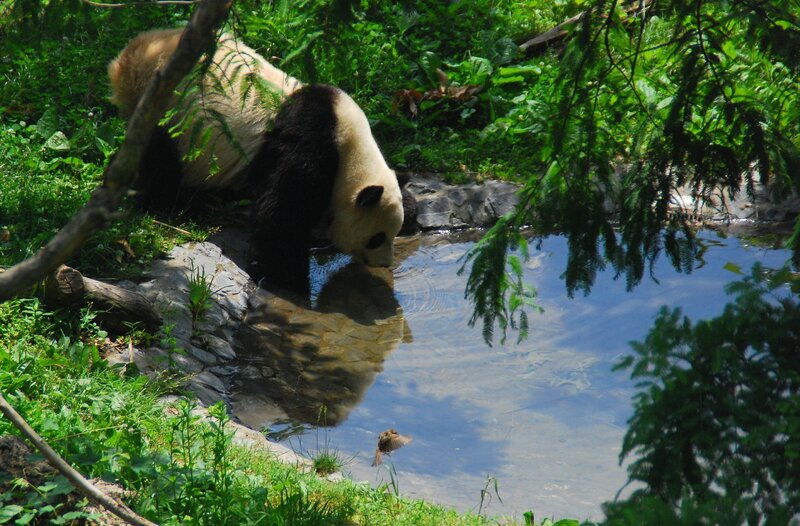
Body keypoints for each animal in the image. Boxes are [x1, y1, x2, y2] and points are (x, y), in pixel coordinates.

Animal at [108, 28, 414, 290]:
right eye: (377, 238)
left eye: (394, 232)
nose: (386, 264)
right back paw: (183, 203)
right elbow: (280, 216)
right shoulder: (309, 145)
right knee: (160, 165)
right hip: (168, 115)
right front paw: (291, 279)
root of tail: (125, 60)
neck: (351, 151)